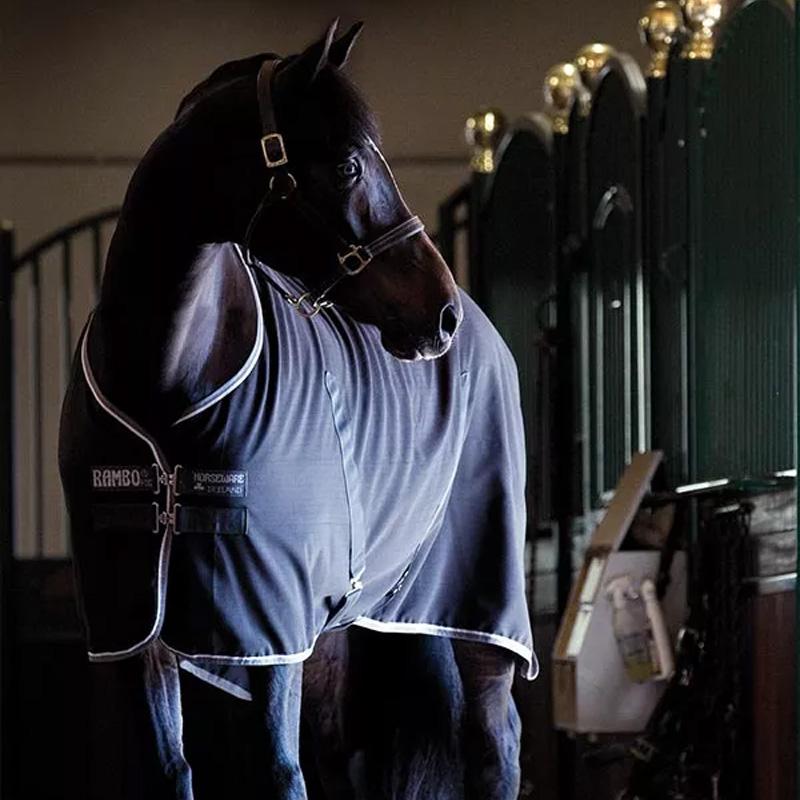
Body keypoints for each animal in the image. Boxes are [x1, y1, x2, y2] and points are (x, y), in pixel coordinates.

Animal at [58, 20, 537, 799]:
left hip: (477, 610)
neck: (168, 383)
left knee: (495, 741)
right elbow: (173, 769)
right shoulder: (138, 627)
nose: (439, 315)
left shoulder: (267, 627)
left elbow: (279, 772)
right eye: (346, 166)